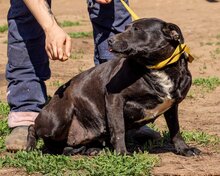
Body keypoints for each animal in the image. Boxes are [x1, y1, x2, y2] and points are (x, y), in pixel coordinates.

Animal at [26, 17, 200, 156]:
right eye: (126, 28)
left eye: (137, 29)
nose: (110, 40)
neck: (157, 68)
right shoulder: (114, 98)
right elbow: (118, 128)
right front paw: (122, 153)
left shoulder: (172, 105)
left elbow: (175, 129)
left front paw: (184, 149)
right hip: (58, 120)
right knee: (32, 127)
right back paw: (29, 147)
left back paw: (92, 149)